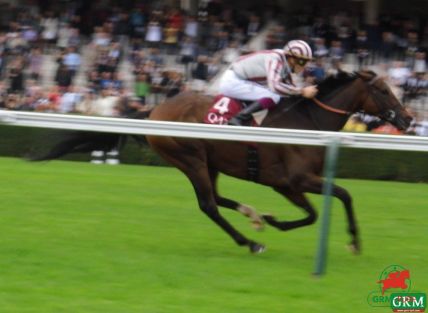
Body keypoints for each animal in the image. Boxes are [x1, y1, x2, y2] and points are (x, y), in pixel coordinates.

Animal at [145, 70, 412, 251]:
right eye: (384, 91)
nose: (408, 119)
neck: (308, 122)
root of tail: (154, 111)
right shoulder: (299, 178)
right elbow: (344, 195)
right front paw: (355, 241)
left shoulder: (286, 184)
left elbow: (313, 214)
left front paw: (274, 220)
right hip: (191, 159)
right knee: (209, 205)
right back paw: (251, 243)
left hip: (210, 163)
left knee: (216, 198)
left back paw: (252, 216)